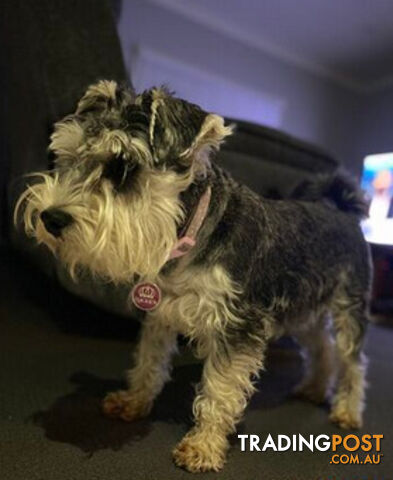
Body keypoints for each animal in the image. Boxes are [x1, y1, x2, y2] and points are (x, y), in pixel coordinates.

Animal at [14, 79, 370, 472]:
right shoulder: (161, 311)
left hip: (349, 309)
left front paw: (203, 446)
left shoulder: (237, 328)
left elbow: (220, 391)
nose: (50, 218)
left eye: (123, 167)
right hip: (302, 311)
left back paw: (347, 411)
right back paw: (315, 388)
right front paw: (133, 401)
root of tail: (343, 212)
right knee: (321, 346)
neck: (190, 235)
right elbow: (149, 361)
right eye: (66, 156)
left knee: (353, 362)